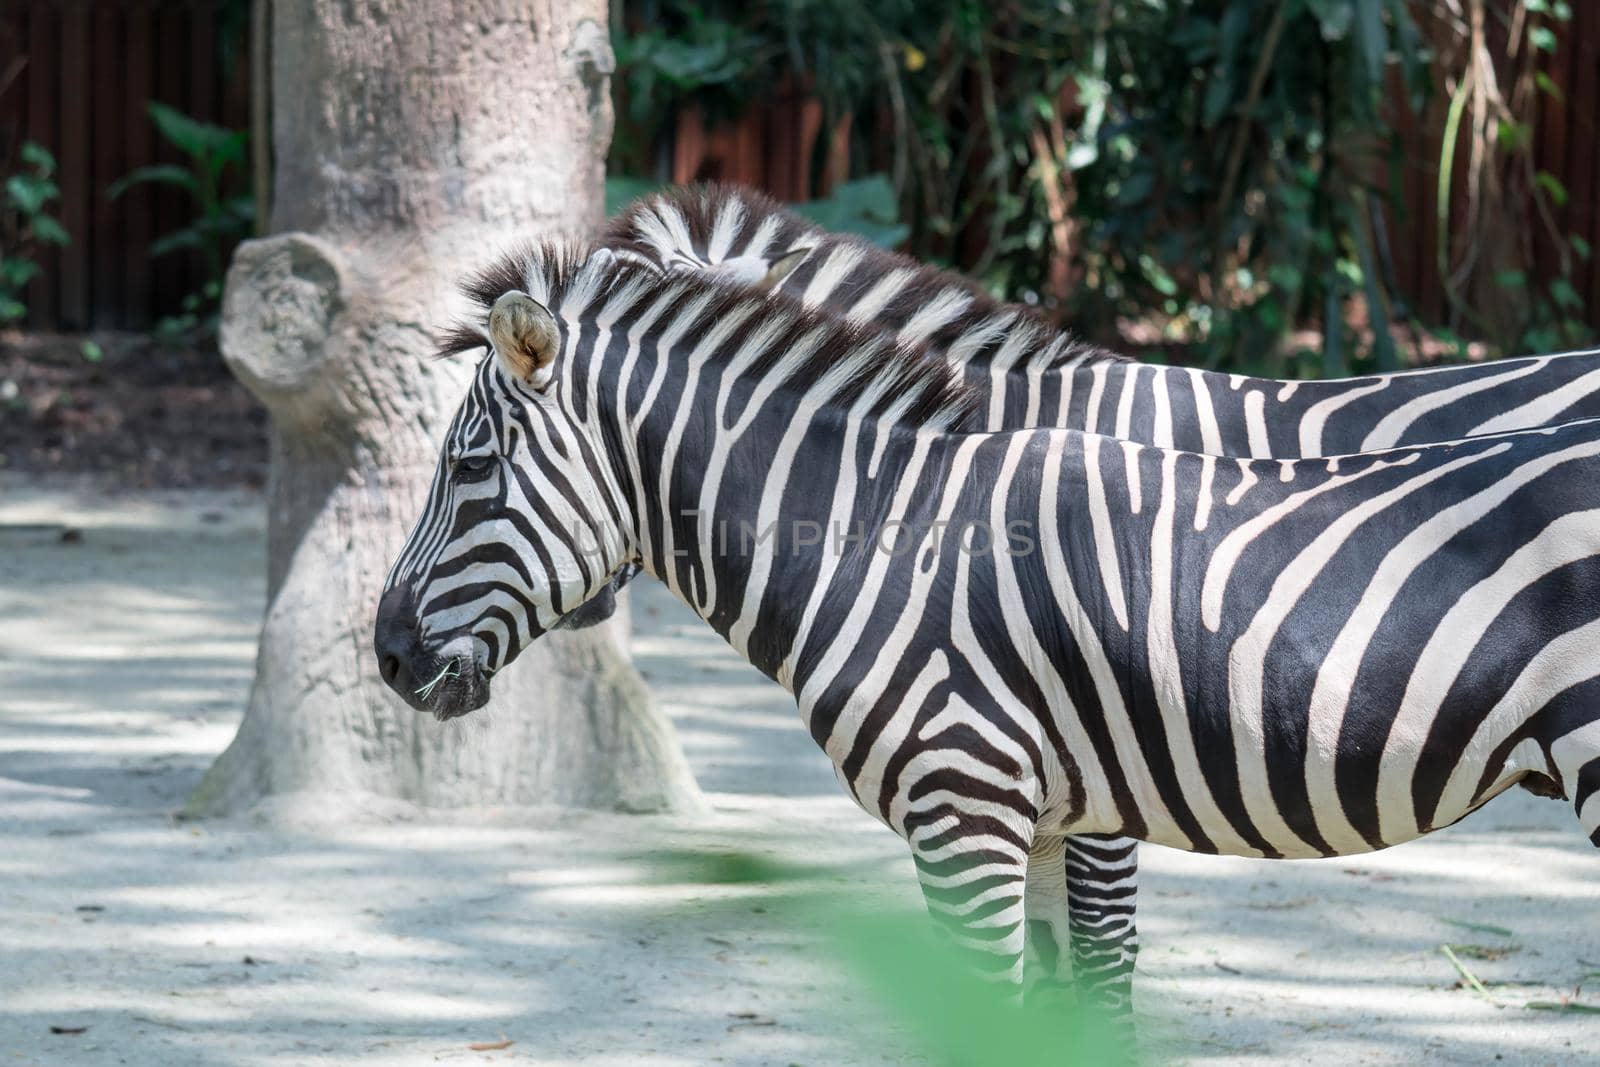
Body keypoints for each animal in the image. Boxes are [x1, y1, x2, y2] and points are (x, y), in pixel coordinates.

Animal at [371, 244, 1600, 1043]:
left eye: (468, 467)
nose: (383, 654)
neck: (885, 534)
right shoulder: (1051, 812)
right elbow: (1061, 1003)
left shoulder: (969, 807)